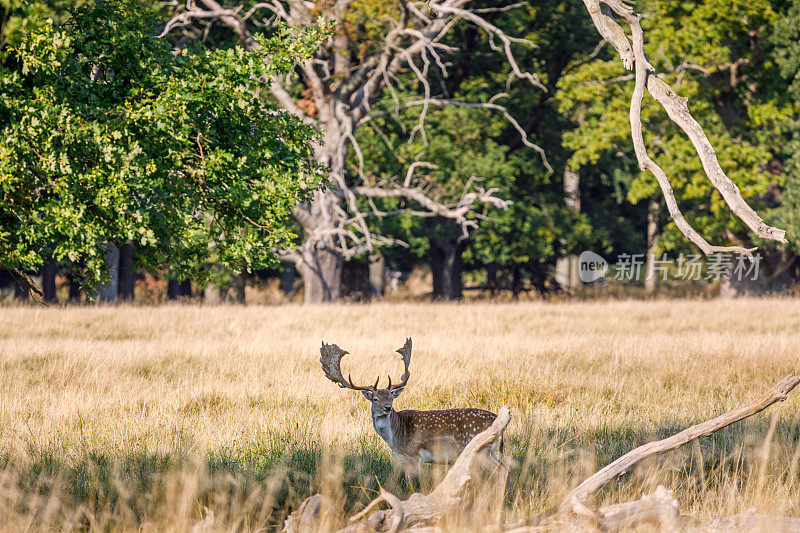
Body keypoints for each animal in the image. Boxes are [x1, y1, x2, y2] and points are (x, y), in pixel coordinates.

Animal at [318, 336, 506, 474]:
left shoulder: (414, 456)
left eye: (391, 398)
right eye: (375, 399)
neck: (395, 438)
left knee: (500, 471)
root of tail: (499, 420)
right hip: (493, 450)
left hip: (482, 450)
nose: (387, 408)